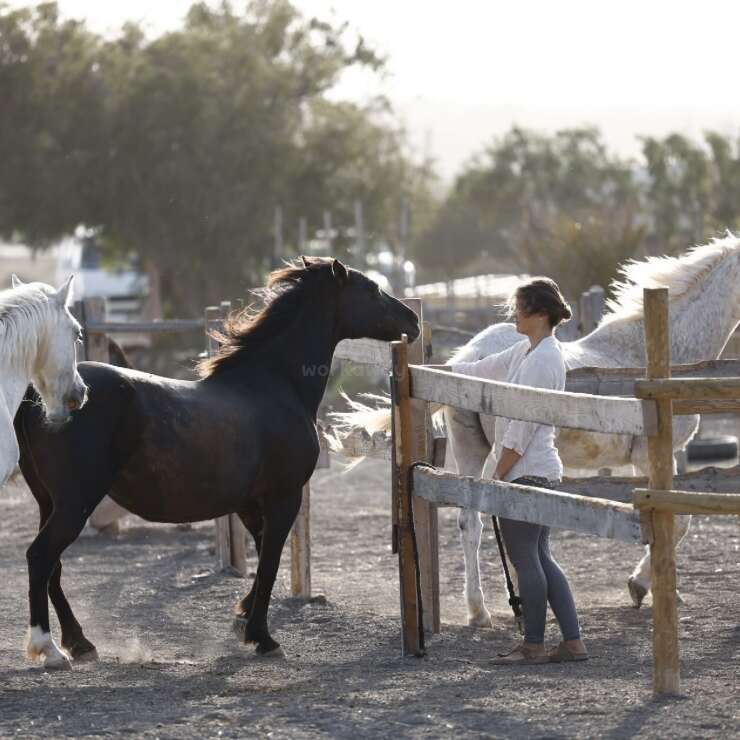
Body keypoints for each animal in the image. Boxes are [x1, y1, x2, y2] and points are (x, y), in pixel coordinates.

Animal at [14, 257, 419, 670]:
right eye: (372, 289)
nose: (413, 320)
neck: (275, 384)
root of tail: (39, 399)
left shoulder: (248, 503)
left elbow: (262, 554)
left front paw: (242, 617)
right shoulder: (284, 497)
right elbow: (270, 560)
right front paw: (261, 636)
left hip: (49, 502)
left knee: (53, 567)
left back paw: (79, 643)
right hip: (74, 503)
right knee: (40, 557)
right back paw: (49, 649)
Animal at [334, 235, 740, 626]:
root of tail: (469, 357)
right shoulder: (653, 456)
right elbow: (678, 520)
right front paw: (642, 586)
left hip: (471, 450)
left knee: (472, 520)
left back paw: (480, 611)